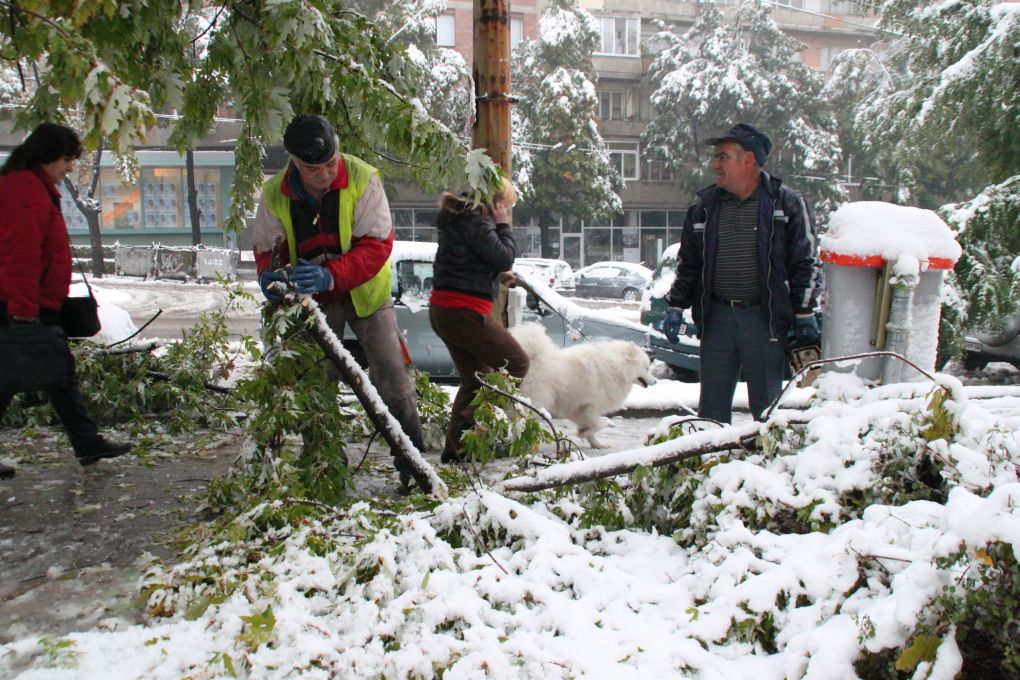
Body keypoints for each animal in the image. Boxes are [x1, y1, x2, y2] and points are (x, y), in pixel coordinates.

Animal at [514, 324, 656, 448]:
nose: (655, 381)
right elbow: (599, 424)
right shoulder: (590, 406)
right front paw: (583, 433)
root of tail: (531, 358)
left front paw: (596, 443)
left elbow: (592, 426)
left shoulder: (577, 408)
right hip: (538, 402)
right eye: (647, 368)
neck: (617, 368)